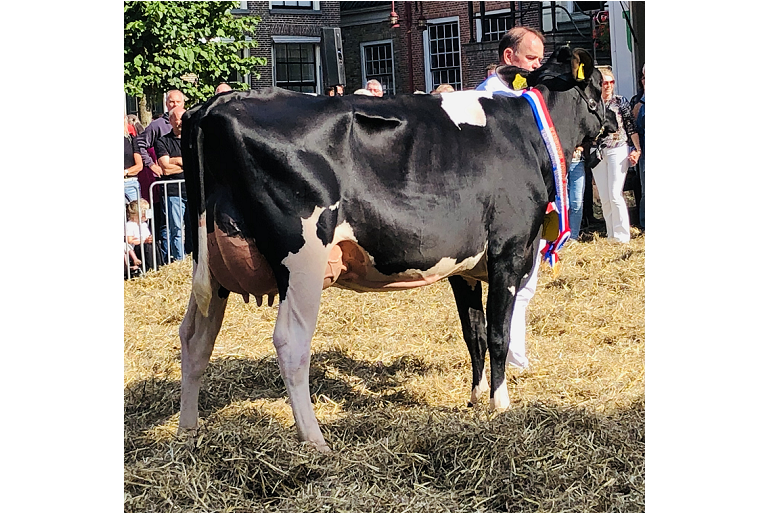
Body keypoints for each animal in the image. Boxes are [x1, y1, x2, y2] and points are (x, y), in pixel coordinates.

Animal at [178, 46, 612, 450]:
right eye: (597, 86)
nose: (615, 122)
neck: (529, 133)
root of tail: (215, 106)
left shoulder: (464, 267)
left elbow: (473, 334)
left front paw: (474, 399)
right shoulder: (509, 251)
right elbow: (498, 334)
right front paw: (500, 404)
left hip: (211, 264)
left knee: (195, 339)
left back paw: (187, 432)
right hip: (302, 258)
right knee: (289, 342)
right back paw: (316, 441)